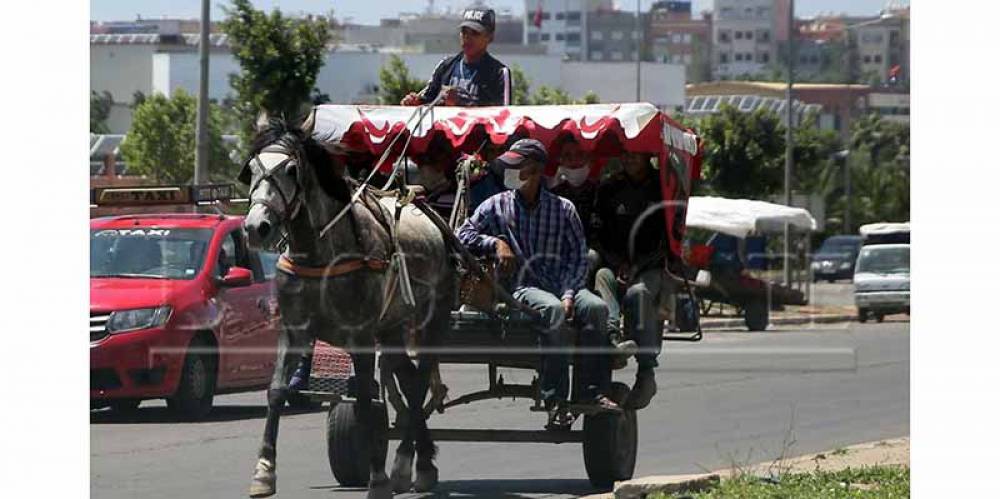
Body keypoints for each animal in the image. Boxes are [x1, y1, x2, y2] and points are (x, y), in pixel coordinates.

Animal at [240, 115, 456, 498]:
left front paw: (378, 479)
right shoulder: (293, 329)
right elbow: (276, 390)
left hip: (433, 318)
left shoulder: (360, 336)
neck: (321, 253)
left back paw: (411, 463)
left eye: (291, 169)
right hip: (392, 326)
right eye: (251, 168)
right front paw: (264, 471)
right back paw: (417, 461)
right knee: (408, 379)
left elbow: (368, 401)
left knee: (418, 382)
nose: (256, 227)